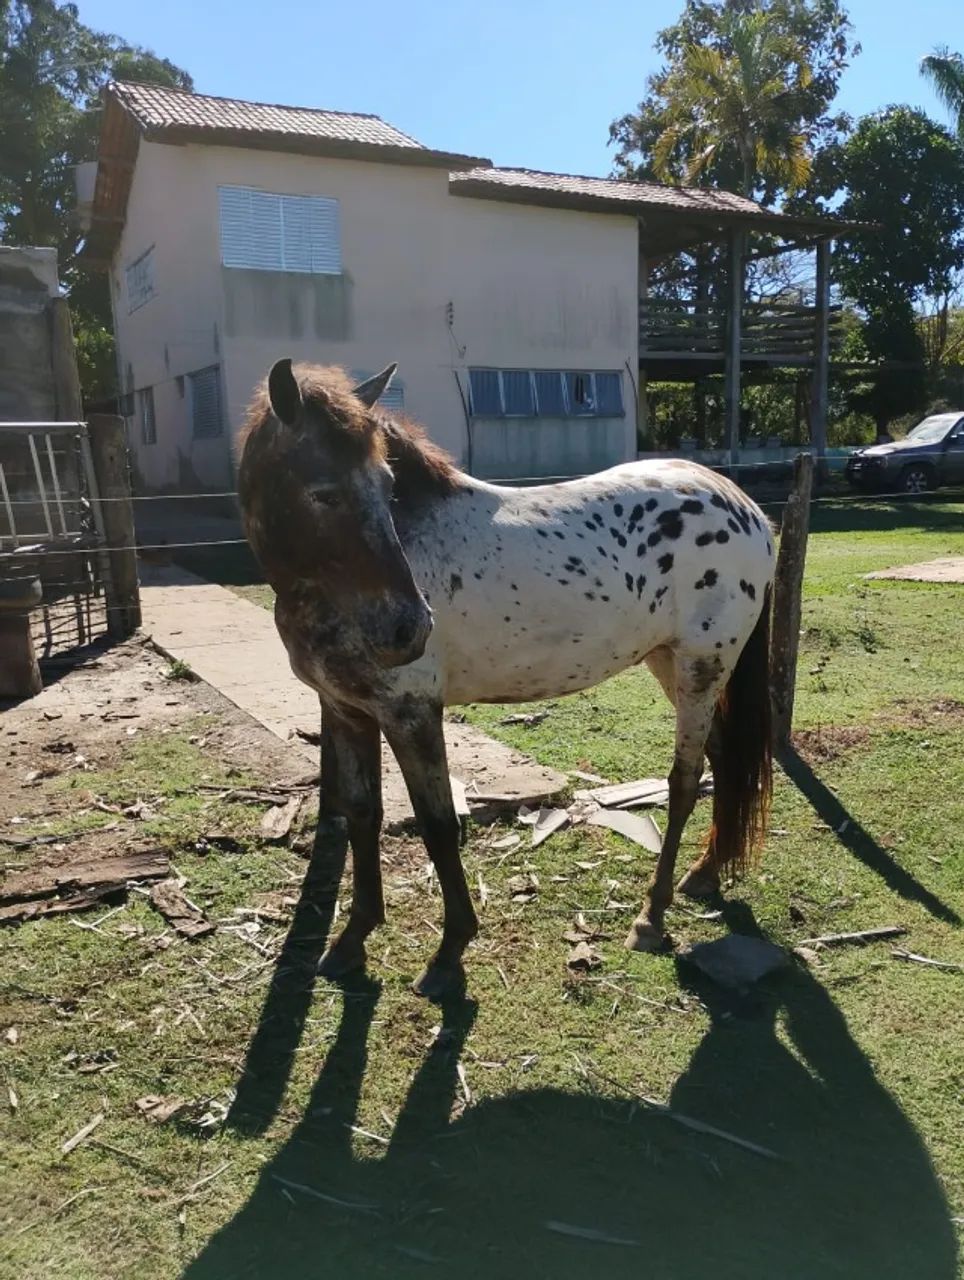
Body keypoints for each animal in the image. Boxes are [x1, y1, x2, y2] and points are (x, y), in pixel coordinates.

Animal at [237, 359, 774, 999]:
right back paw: (704, 874)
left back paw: (651, 916)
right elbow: (361, 816)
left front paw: (449, 953)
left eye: (388, 487)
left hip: (701, 664)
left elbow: (438, 825)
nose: (408, 629)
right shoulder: (346, 710)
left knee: (685, 780)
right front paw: (352, 940)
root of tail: (742, 505)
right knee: (722, 757)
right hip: (671, 662)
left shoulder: (412, 712)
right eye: (323, 492)